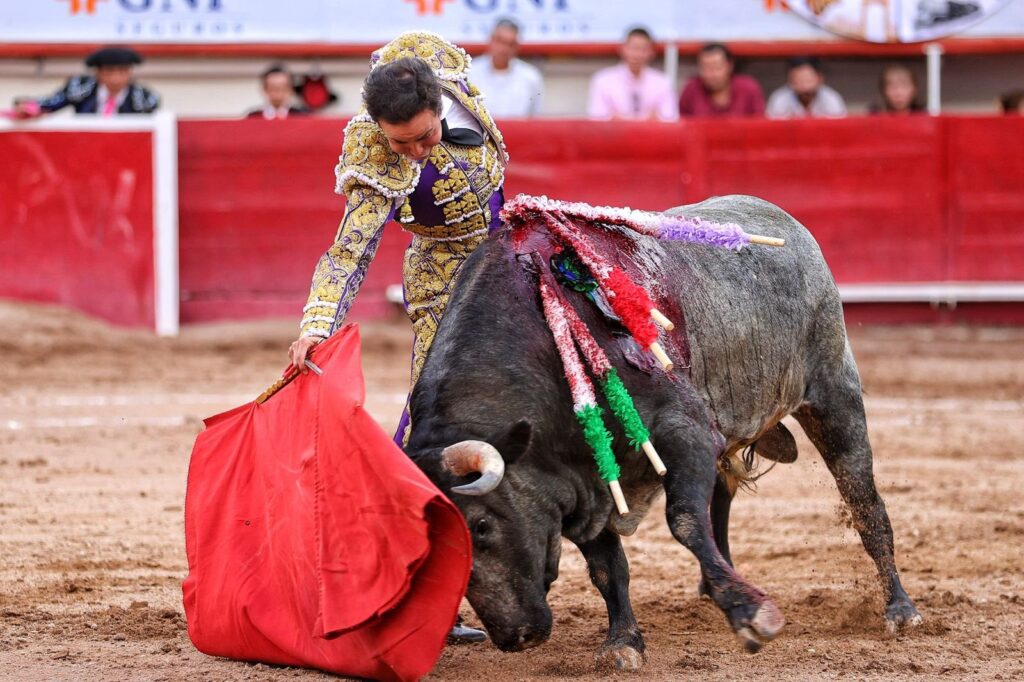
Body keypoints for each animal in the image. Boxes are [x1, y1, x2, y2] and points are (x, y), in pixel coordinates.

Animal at [403, 193, 925, 667]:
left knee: (865, 503)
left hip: (834, 395)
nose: (517, 637)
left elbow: (684, 520)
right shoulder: (583, 479)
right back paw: (716, 581)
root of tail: (789, 223)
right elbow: (607, 566)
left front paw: (751, 614)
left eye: (482, 526)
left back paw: (900, 610)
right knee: (723, 496)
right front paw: (623, 642)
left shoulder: (683, 433)